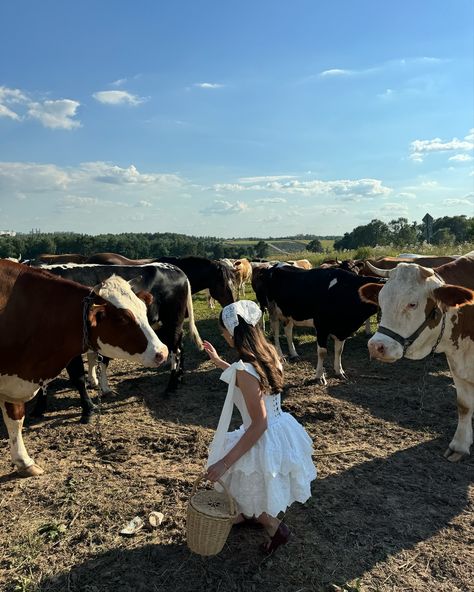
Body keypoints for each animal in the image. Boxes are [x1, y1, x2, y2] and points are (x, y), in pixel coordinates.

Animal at [0, 262, 169, 478]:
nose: (162, 352)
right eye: (123, 318)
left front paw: (24, 462)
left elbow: (15, 420)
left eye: (142, 308)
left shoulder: (14, 380)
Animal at [360, 252, 474, 460]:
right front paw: (460, 445)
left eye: (412, 304)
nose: (375, 346)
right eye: (381, 300)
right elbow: (464, 405)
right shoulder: (456, 363)